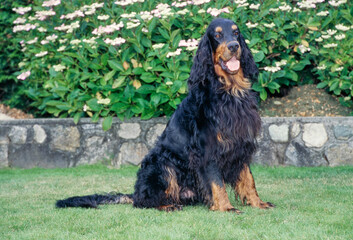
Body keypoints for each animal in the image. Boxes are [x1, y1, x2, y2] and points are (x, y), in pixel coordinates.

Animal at [56, 19, 274, 214]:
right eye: (218, 35)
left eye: (236, 33)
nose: (234, 46)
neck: (229, 90)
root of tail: (136, 192)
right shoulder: (208, 149)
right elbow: (216, 183)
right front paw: (225, 207)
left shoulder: (241, 144)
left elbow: (249, 179)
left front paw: (258, 202)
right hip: (162, 164)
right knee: (144, 201)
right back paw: (166, 205)